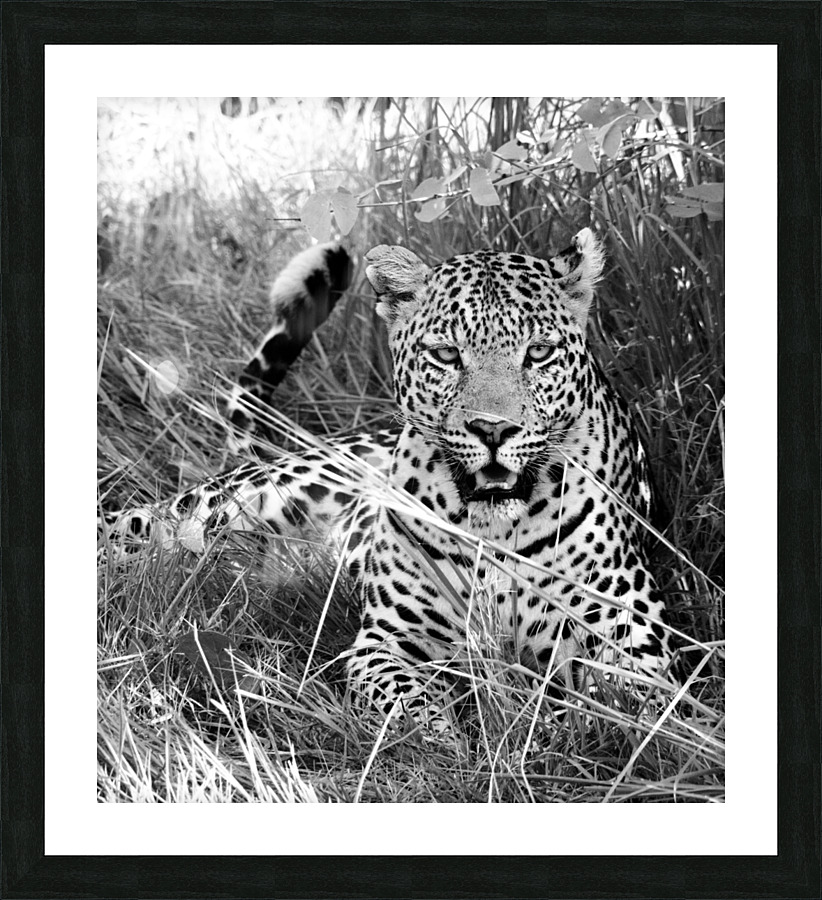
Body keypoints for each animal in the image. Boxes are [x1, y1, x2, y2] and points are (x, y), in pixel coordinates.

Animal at [104, 229, 676, 736]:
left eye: (539, 353)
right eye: (446, 355)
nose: (493, 429)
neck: (493, 531)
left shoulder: (634, 636)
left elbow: (640, 708)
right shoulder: (387, 641)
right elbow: (410, 704)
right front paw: (449, 740)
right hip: (215, 508)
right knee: (125, 523)